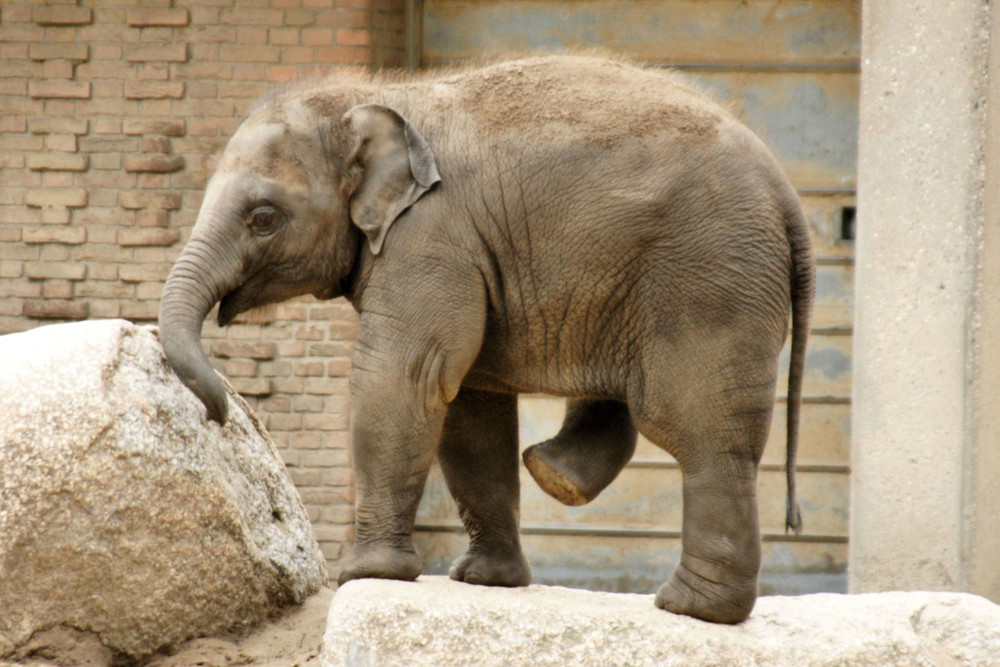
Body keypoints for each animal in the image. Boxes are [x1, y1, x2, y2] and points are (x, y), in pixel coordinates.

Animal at [156, 56, 812, 628]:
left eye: (263, 218)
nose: (219, 412)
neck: (370, 97)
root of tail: (787, 193)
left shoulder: (432, 238)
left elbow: (404, 377)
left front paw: (366, 574)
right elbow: (468, 407)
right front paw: (484, 581)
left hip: (709, 281)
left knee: (701, 430)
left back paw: (689, 608)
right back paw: (557, 475)